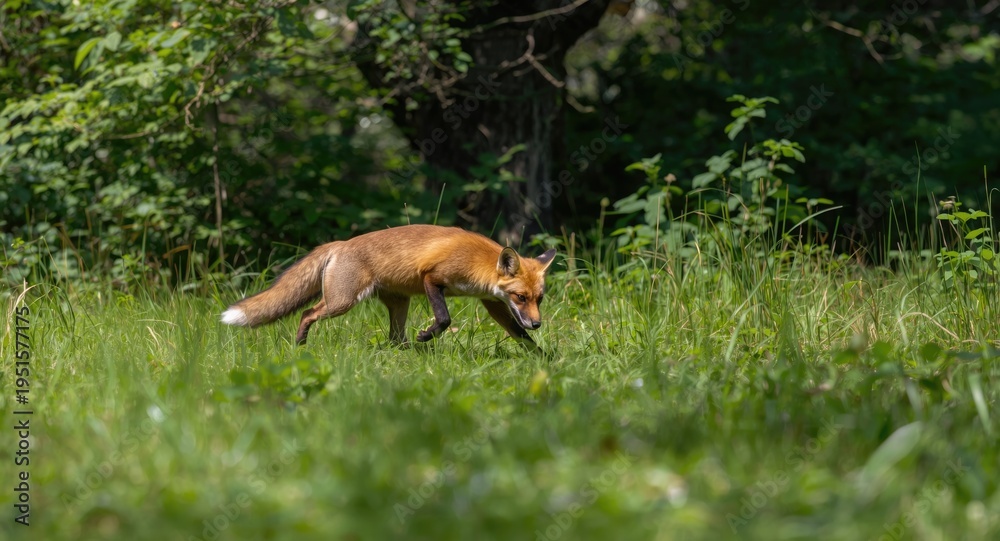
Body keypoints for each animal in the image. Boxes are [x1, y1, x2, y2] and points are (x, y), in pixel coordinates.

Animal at [221, 224, 557, 351]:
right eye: (520, 296)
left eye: (539, 298)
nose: (538, 323)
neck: (479, 265)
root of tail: (340, 244)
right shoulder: (432, 277)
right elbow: (444, 317)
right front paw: (427, 335)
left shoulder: (491, 301)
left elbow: (518, 333)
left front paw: (543, 359)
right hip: (342, 301)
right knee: (307, 313)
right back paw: (300, 344)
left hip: (398, 305)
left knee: (395, 338)